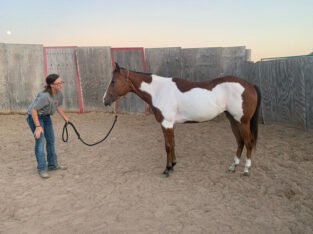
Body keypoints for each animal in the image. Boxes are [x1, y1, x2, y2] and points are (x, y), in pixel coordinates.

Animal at [103, 63, 260, 176]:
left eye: (113, 81)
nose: (105, 100)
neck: (159, 91)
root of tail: (250, 85)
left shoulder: (166, 123)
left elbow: (167, 145)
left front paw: (167, 169)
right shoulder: (170, 124)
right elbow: (172, 143)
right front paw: (173, 165)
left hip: (242, 122)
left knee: (248, 142)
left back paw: (246, 170)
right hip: (233, 120)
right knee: (240, 142)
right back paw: (233, 167)